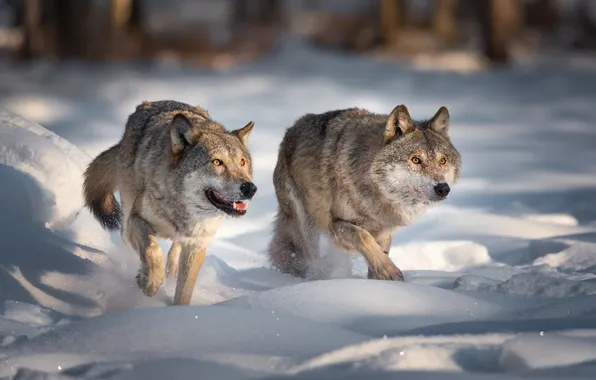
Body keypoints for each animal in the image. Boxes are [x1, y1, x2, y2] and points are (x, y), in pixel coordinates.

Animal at [268, 105, 460, 280]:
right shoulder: (336, 225)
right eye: (415, 160)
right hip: (306, 224)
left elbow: (379, 251)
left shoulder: (384, 232)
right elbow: (363, 236)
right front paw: (389, 271)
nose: (443, 188)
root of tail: (291, 130)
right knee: (312, 261)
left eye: (443, 161)